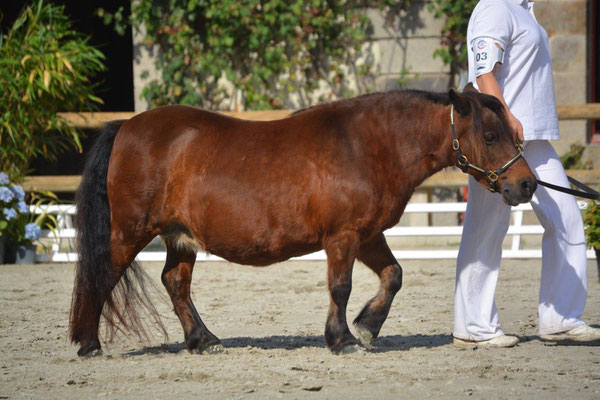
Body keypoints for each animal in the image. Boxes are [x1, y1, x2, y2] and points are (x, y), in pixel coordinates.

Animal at [69, 85, 536, 356]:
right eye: (490, 135)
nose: (527, 185)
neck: (368, 145)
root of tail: (127, 126)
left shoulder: (368, 235)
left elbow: (393, 275)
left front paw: (367, 327)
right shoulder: (343, 237)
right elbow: (340, 287)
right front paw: (342, 339)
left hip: (180, 237)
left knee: (175, 283)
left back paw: (203, 341)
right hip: (131, 232)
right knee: (102, 276)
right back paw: (89, 344)